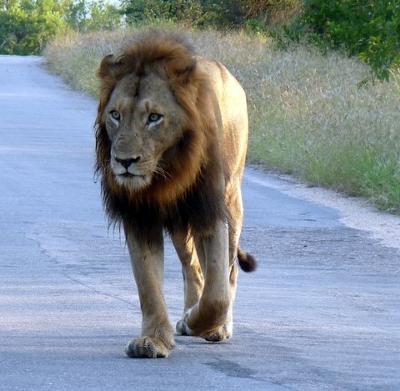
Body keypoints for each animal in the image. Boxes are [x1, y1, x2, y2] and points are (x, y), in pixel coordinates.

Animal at [95, 29, 255, 362]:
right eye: (115, 114)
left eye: (154, 117)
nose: (124, 161)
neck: (166, 172)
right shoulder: (140, 216)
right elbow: (148, 285)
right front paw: (153, 341)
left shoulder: (210, 210)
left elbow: (217, 294)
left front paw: (199, 322)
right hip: (182, 224)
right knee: (192, 268)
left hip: (232, 202)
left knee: (229, 272)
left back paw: (217, 326)